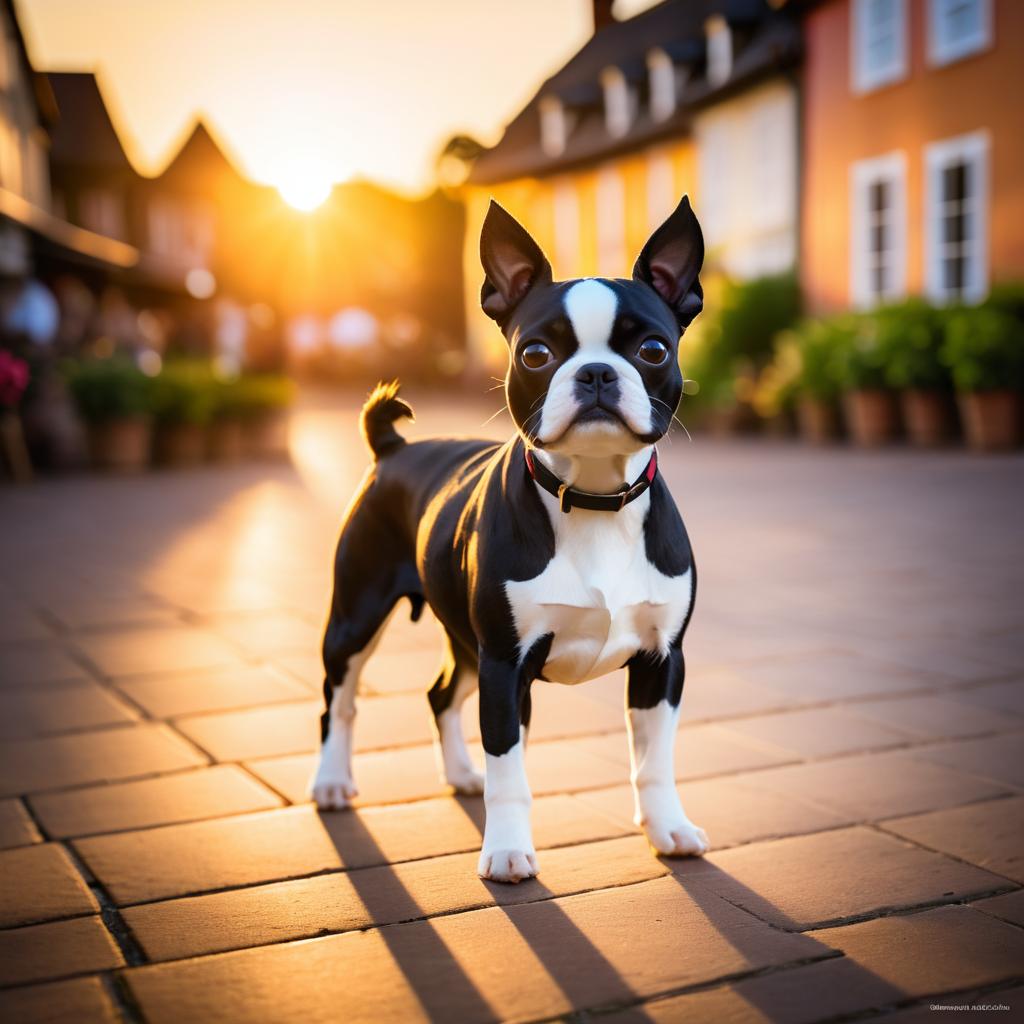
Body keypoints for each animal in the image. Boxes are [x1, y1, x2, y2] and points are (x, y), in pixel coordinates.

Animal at [311, 197, 708, 880]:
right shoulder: (505, 665)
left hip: (464, 641)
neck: (593, 498)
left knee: (440, 694)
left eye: (654, 349)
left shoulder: (662, 660)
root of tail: (392, 447)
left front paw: (667, 829)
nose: (597, 372)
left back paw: (460, 774)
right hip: (357, 616)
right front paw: (505, 850)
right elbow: (511, 770)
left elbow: (654, 761)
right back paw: (332, 782)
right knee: (341, 699)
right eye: (535, 354)